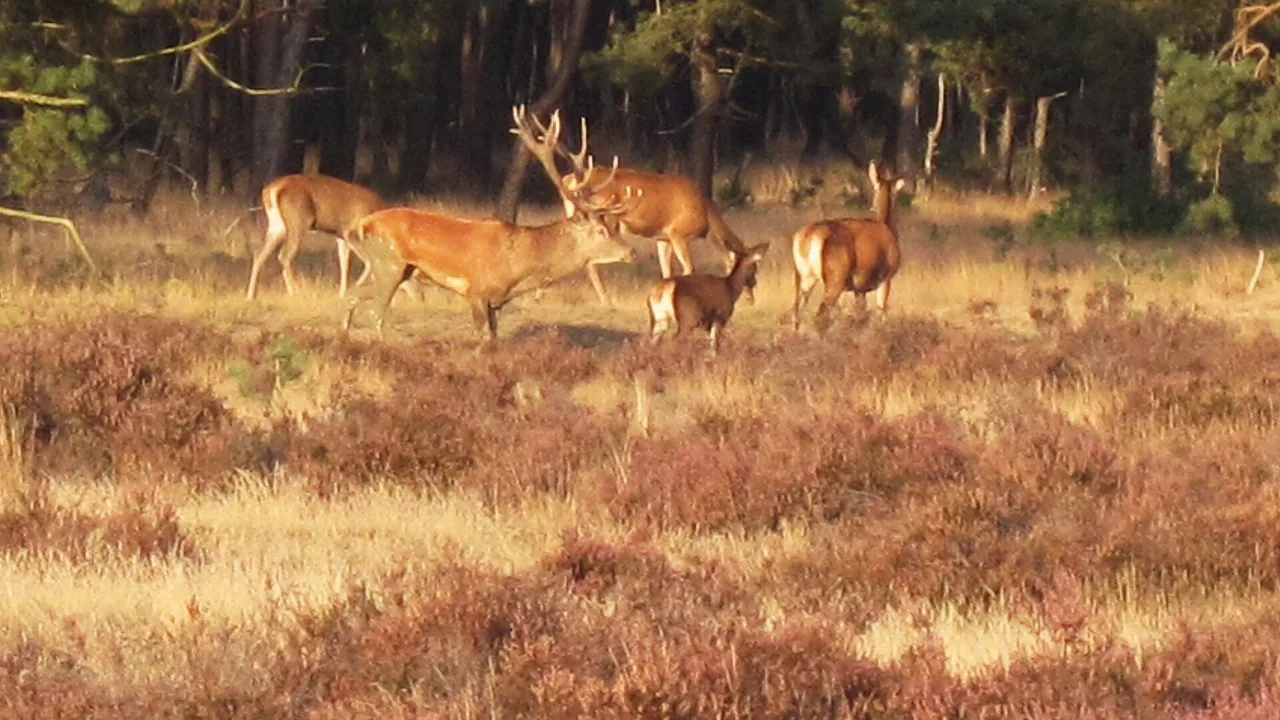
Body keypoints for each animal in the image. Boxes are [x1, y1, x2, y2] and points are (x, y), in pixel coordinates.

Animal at [245, 174, 387, 301]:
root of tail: (273, 189)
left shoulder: (340, 236)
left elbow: (344, 263)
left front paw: (342, 294)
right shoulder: (350, 232)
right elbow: (370, 262)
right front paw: (355, 290)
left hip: (277, 225)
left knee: (259, 254)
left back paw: (251, 296)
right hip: (298, 221)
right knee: (284, 255)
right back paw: (295, 292)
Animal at [342, 108, 637, 341]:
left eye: (613, 227)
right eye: (601, 230)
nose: (631, 252)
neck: (518, 266)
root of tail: (361, 225)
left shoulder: (496, 302)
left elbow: (495, 337)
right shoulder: (476, 291)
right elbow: (484, 337)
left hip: (389, 267)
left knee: (352, 295)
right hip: (389, 263)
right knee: (375, 311)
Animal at [511, 109, 752, 306]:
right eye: (750, 272)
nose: (750, 298)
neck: (707, 219)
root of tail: (569, 180)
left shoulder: (663, 238)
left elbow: (667, 272)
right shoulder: (678, 232)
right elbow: (689, 270)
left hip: (574, 210)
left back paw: (540, 294)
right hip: (606, 216)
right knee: (592, 260)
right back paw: (606, 301)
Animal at [791, 161, 907, 332]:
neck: (889, 227)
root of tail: (807, 237)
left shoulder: (859, 288)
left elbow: (861, 315)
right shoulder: (886, 277)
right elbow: (882, 312)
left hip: (803, 277)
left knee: (795, 313)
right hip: (835, 277)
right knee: (819, 316)